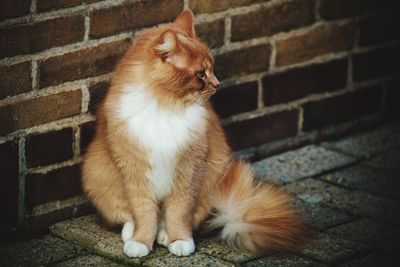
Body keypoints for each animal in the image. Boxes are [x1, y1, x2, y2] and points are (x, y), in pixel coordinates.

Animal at [83, 9, 310, 258]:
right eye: (201, 74)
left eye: (211, 69)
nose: (217, 84)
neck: (165, 106)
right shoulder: (135, 172)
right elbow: (144, 213)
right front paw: (141, 242)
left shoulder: (189, 170)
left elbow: (178, 213)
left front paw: (179, 240)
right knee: (127, 216)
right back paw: (131, 233)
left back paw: (164, 235)